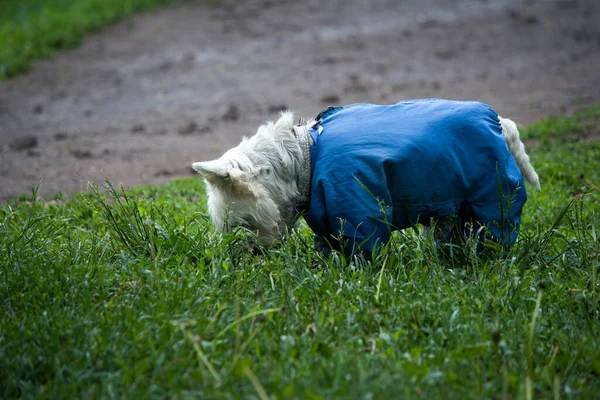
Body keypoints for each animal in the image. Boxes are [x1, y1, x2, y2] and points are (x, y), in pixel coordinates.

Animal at [195, 101, 540, 256]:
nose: (248, 256)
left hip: (493, 193)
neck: (304, 157)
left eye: (240, 226)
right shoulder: (327, 213)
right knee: (451, 230)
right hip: (456, 202)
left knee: (497, 228)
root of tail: (499, 121)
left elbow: (364, 247)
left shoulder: (358, 207)